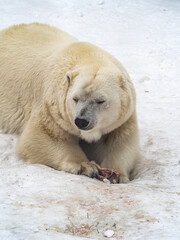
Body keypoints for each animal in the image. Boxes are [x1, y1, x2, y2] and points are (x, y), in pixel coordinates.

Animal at [0, 23, 141, 183]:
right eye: (75, 98)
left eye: (101, 100)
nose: (81, 121)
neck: (88, 57)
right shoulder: (53, 110)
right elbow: (43, 136)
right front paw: (87, 166)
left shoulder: (123, 119)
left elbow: (120, 142)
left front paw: (117, 175)